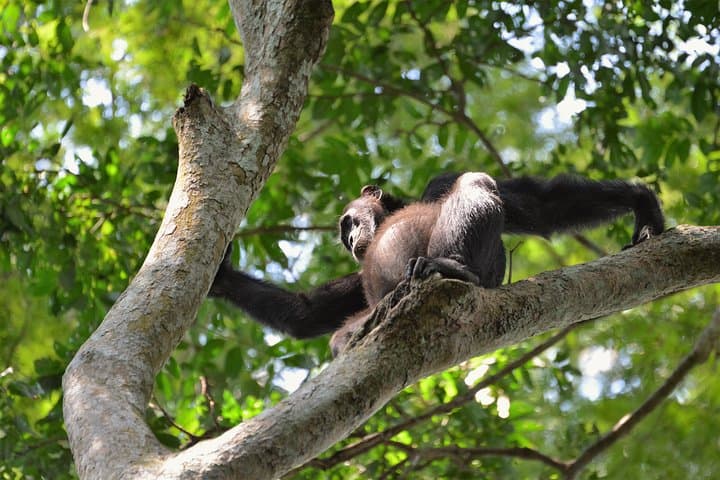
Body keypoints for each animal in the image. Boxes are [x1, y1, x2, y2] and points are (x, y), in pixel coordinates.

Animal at [209, 172, 664, 355]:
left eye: (348, 223)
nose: (351, 240)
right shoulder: (359, 279)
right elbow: (308, 313)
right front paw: (221, 278)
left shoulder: (438, 182)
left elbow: (539, 207)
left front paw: (641, 202)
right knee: (341, 334)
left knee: (476, 183)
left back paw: (451, 268)